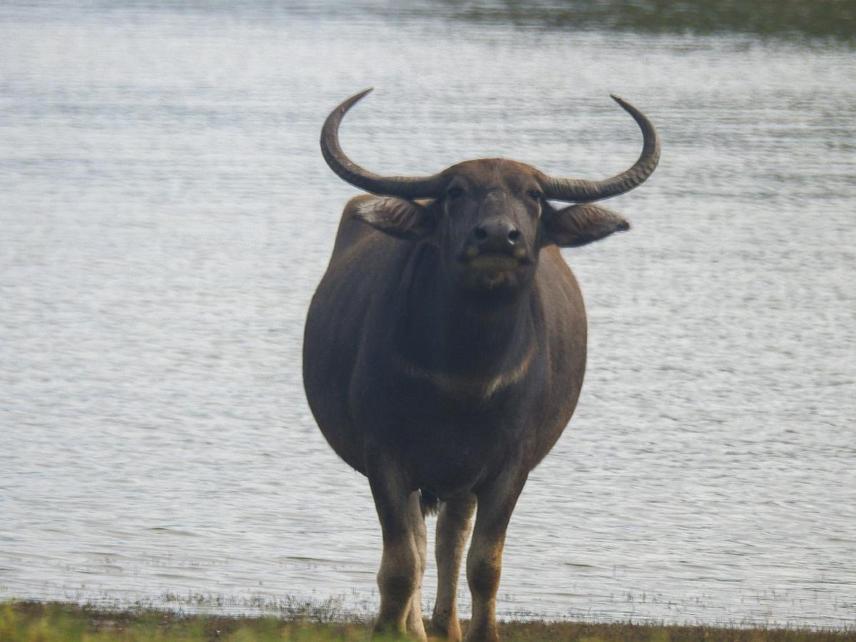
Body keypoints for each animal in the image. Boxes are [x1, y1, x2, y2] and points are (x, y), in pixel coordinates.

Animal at [303, 89, 660, 642]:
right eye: (455, 191)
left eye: (532, 194)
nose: (496, 236)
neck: (465, 375)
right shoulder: (385, 457)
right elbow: (400, 562)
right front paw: (389, 631)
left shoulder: (509, 464)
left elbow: (484, 562)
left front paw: (483, 632)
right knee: (421, 544)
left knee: (450, 542)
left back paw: (446, 626)